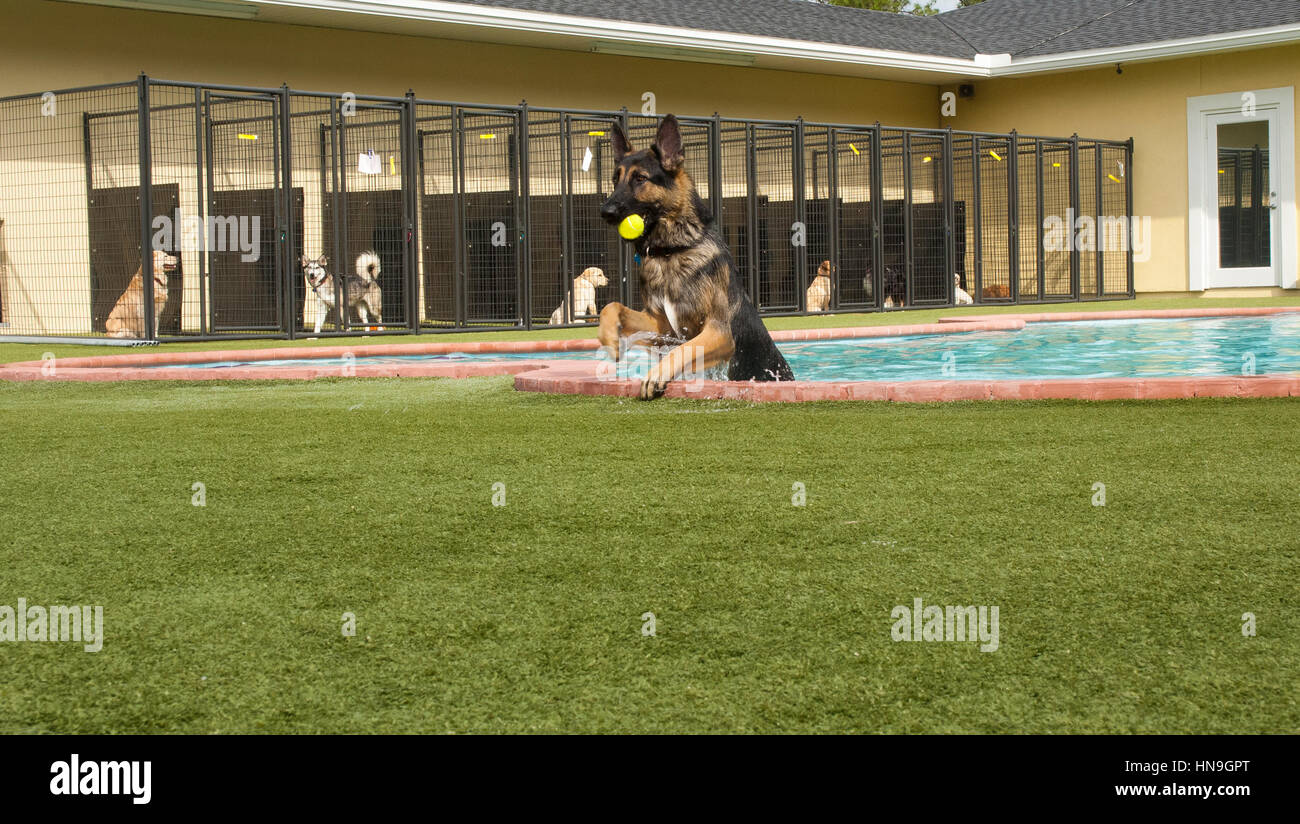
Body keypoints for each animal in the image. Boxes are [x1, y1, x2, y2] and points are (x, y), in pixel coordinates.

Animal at [595, 115, 790, 397]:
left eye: (640, 178)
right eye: (614, 180)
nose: (605, 211)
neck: (672, 251)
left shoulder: (719, 333)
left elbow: (682, 350)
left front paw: (657, 374)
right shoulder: (661, 326)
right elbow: (611, 306)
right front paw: (610, 337)